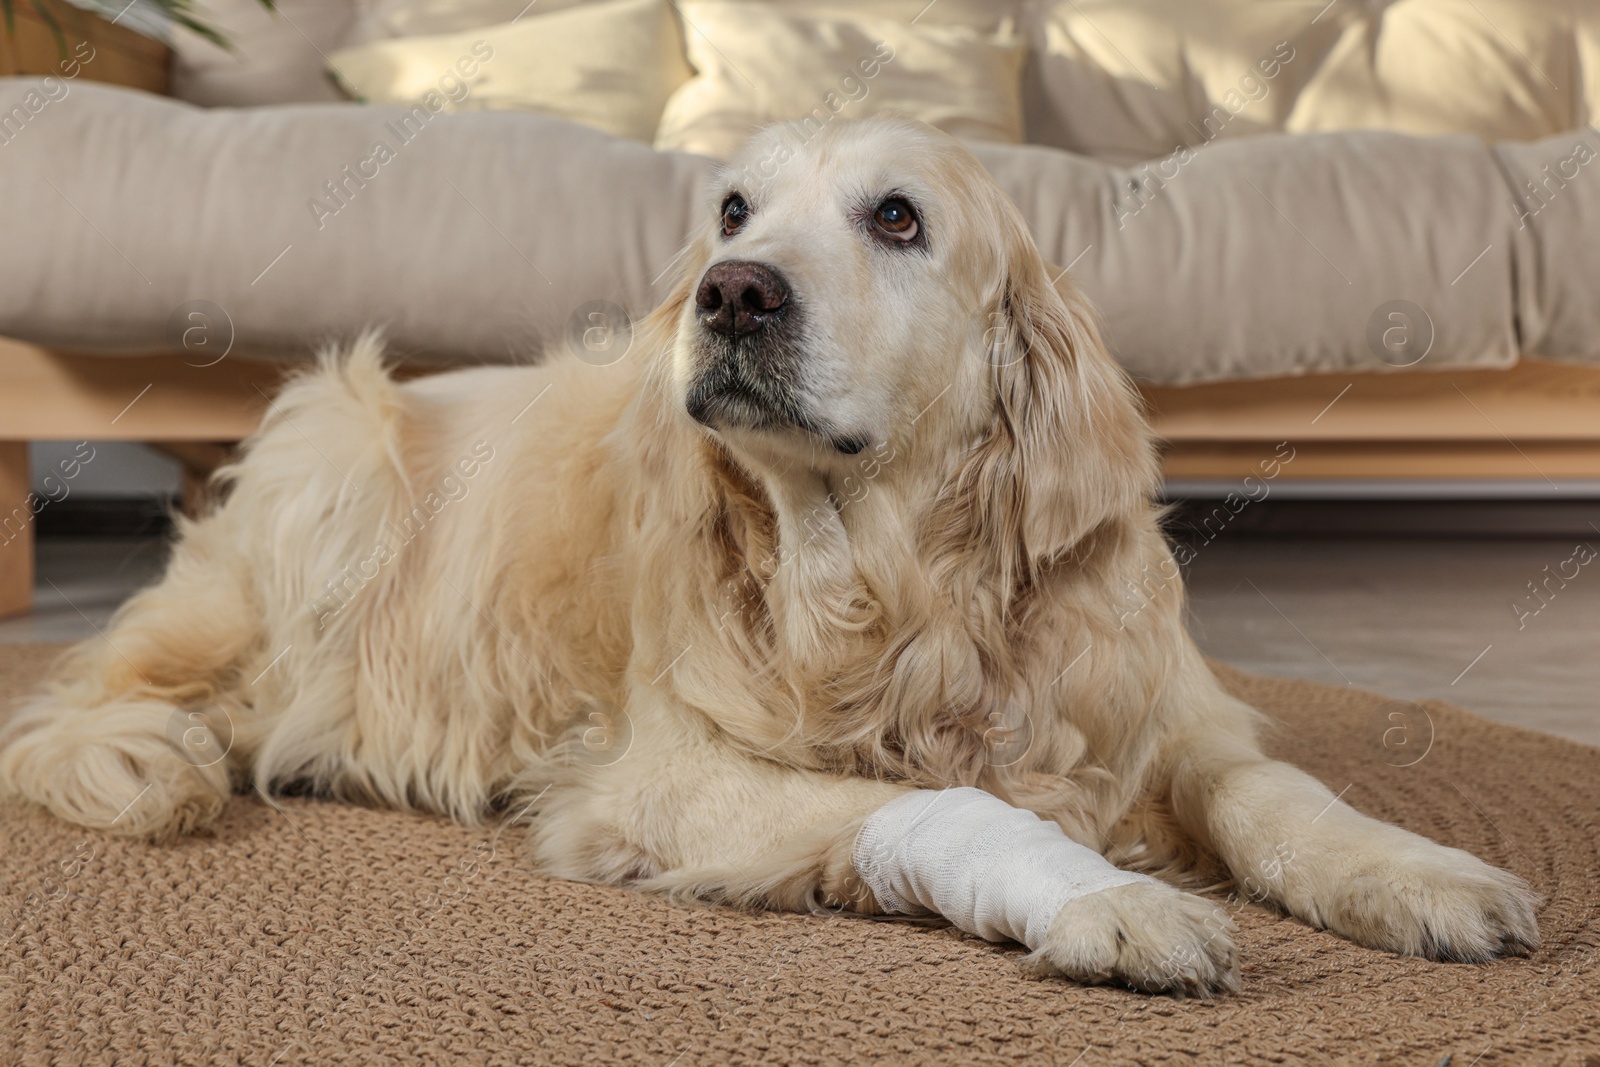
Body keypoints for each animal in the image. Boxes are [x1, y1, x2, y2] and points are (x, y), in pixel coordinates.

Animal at [6, 115, 1542, 991]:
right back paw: (174, 751)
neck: (898, 592)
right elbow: (957, 809)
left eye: (898, 217)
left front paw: (1420, 872)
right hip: (338, 453)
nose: (732, 293)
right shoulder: (666, 776)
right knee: (82, 698)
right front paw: (1110, 894)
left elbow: (1281, 795)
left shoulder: (1172, 714)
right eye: (733, 212)